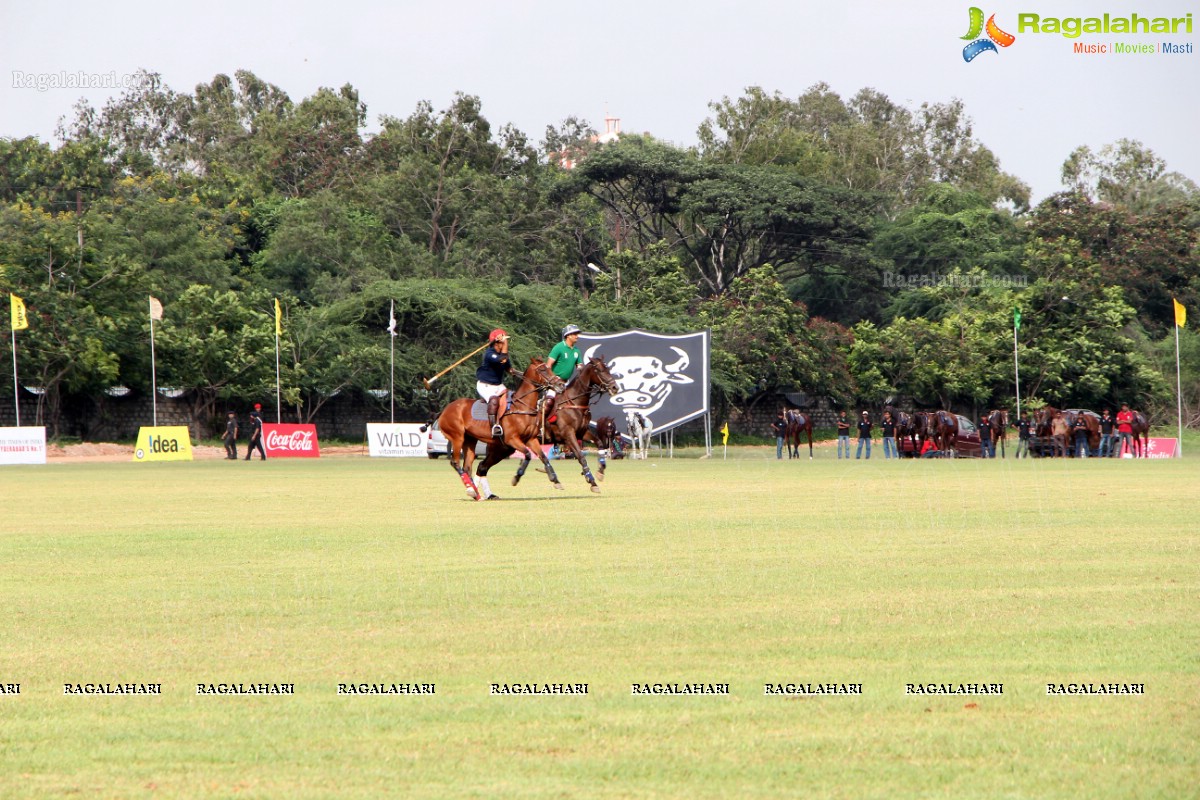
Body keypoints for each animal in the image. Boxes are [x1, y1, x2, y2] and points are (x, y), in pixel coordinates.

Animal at [439, 357, 564, 501]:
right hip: (457, 437)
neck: (522, 407)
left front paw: (555, 480)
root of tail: (444, 410)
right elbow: (527, 455)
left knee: (469, 466)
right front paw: (517, 477)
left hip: (471, 440)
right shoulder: (512, 439)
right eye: (543, 369)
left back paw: (477, 494)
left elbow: (543, 457)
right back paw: (471, 490)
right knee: (456, 462)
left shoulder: (531, 439)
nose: (561, 384)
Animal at [544, 357, 619, 494]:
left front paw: (600, 471)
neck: (575, 402)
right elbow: (580, 456)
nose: (615, 387)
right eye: (599, 370)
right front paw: (591, 481)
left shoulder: (582, 432)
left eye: (608, 369)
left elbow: (600, 444)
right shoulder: (568, 434)